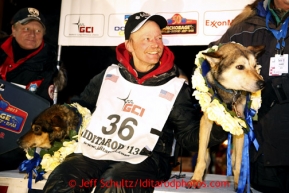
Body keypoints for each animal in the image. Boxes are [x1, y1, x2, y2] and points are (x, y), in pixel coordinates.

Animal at [186, 43, 264, 189]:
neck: (229, 93)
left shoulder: (241, 125)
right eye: (240, 67)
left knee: (234, 159)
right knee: (206, 157)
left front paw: (239, 183)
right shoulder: (205, 121)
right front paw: (196, 179)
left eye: (255, 65)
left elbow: (238, 162)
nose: (263, 83)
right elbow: (201, 158)